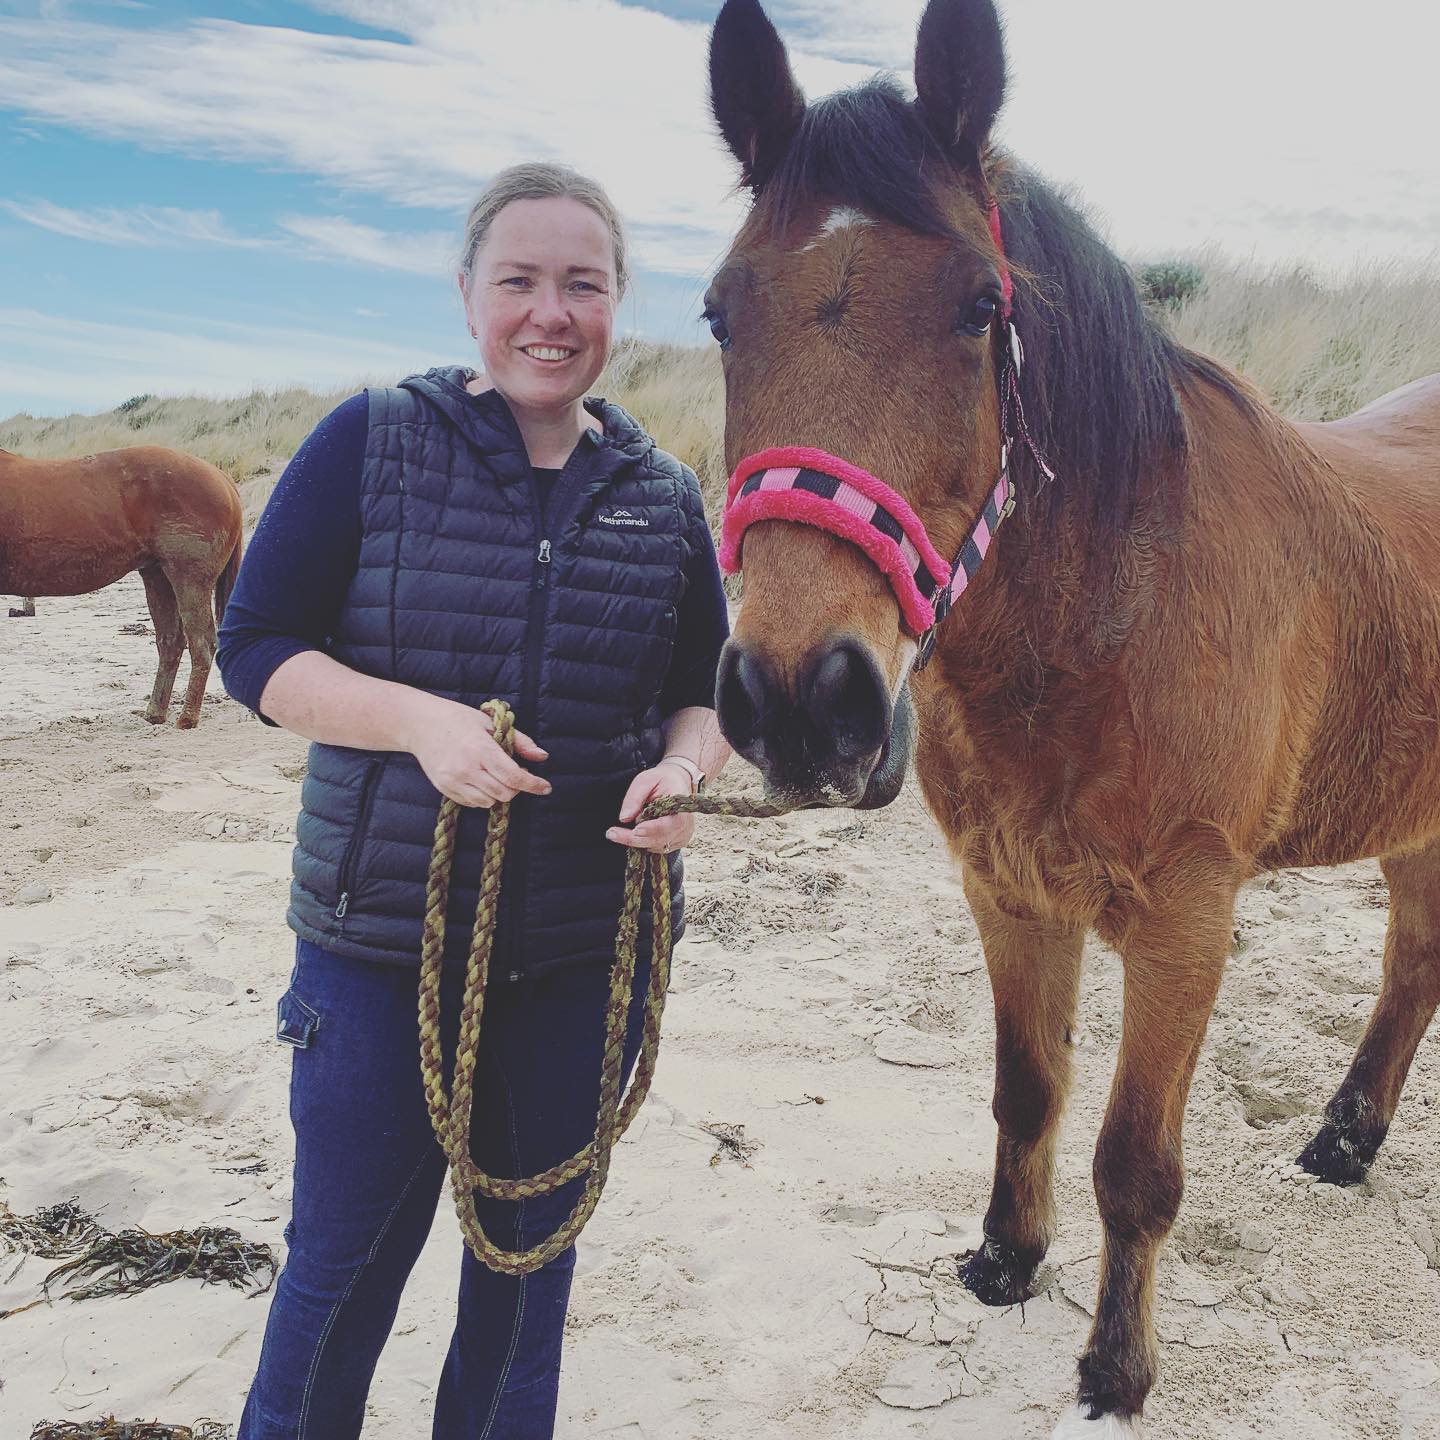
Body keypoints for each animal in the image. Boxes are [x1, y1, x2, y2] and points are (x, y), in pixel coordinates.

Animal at [0, 444, 243, 728]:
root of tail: (221, 477)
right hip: (157, 576)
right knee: (171, 642)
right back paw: (155, 713)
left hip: (189, 580)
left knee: (202, 644)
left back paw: (187, 718)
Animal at [705, 0, 1440, 1433]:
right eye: (719, 313)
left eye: (981, 307)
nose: (801, 702)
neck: (1110, 608)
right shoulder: (1009, 893)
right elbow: (1027, 1091)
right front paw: (1006, 1260)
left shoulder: (1185, 924)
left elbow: (1134, 1163)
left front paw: (1116, 1368)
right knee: (1414, 960)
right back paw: (1344, 1140)